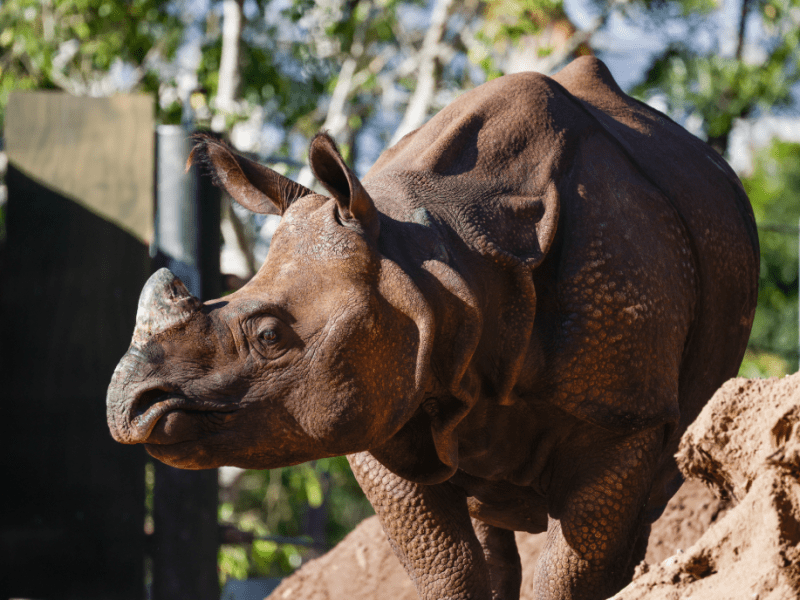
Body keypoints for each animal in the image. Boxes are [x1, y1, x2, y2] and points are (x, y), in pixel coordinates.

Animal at [107, 57, 759, 600]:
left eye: (269, 337)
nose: (129, 406)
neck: (438, 262)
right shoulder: (385, 399)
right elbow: (447, 570)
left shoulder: (624, 414)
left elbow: (570, 572)